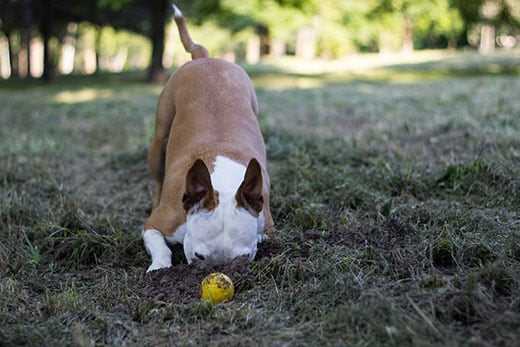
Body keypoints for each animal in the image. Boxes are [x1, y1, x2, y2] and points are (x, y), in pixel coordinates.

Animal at [140, 4, 274, 274]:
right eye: (198, 256)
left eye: (243, 258)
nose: (218, 269)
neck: (223, 181)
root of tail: (204, 58)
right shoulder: (156, 224)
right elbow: (160, 245)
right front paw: (159, 266)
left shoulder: (267, 222)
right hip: (160, 136)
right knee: (157, 172)